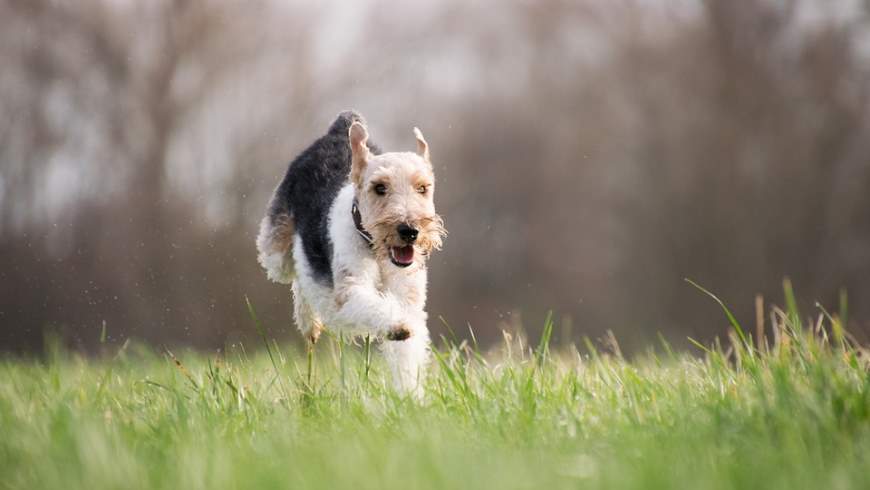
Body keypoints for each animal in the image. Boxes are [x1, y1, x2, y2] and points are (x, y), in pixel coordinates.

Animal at [255, 111, 446, 394]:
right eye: (379, 187)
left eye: (423, 187)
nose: (409, 231)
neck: (376, 251)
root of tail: (339, 128)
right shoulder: (350, 290)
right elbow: (374, 307)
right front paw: (397, 325)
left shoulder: (409, 298)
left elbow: (407, 353)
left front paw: (411, 396)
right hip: (276, 252)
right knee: (298, 274)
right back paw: (309, 322)